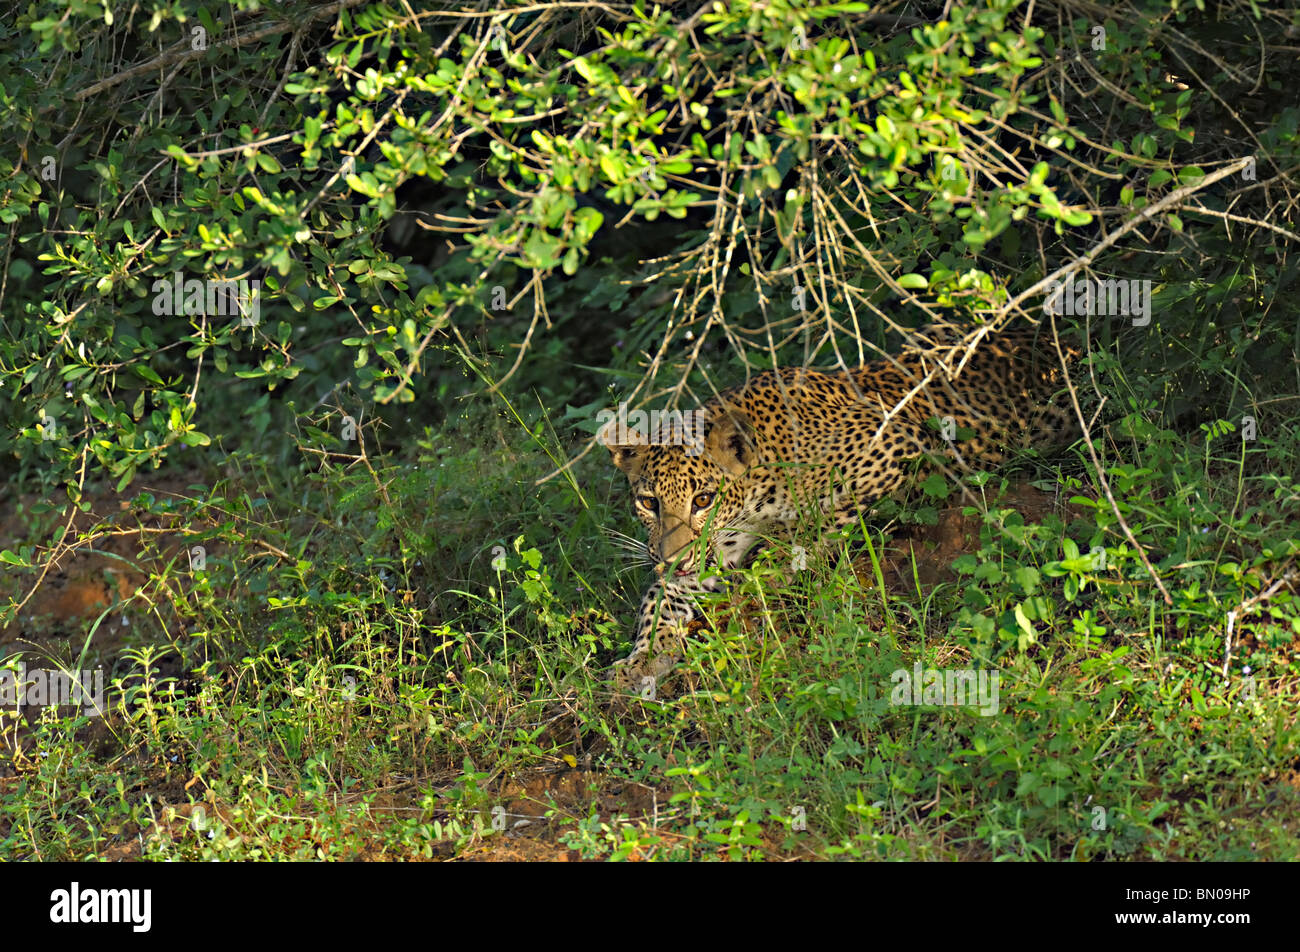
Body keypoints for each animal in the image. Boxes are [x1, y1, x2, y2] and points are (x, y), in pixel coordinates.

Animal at [598, 321, 1076, 691]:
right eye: (648, 502)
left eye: (703, 500)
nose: (672, 559)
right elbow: (659, 600)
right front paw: (640, 661)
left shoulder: (893, 447)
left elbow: (809, 528)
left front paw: (766, 573)